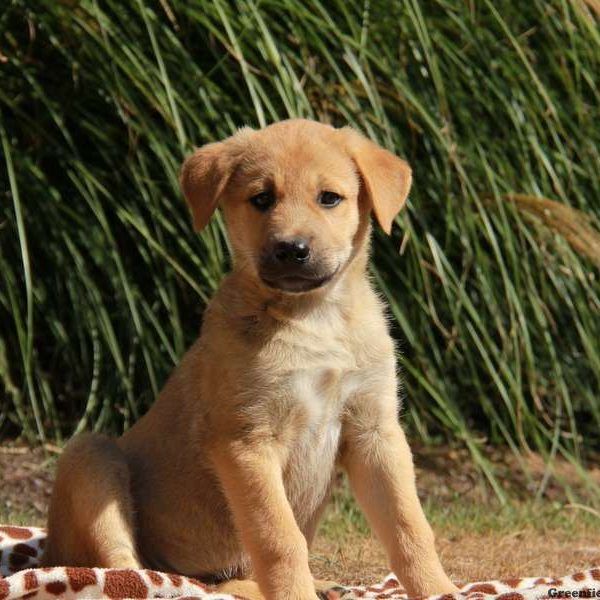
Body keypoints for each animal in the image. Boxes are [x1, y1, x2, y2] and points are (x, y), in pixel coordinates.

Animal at [44, 119, 458, 596]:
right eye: (262, 198)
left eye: (329, 198)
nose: (292, 249)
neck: (314, 319)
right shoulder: (248, 442)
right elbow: (278, 537)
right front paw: (296, 593)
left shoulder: (375, 431)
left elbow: (409, 527)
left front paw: (439, 589)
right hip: (89, 457)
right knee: (136, 571)